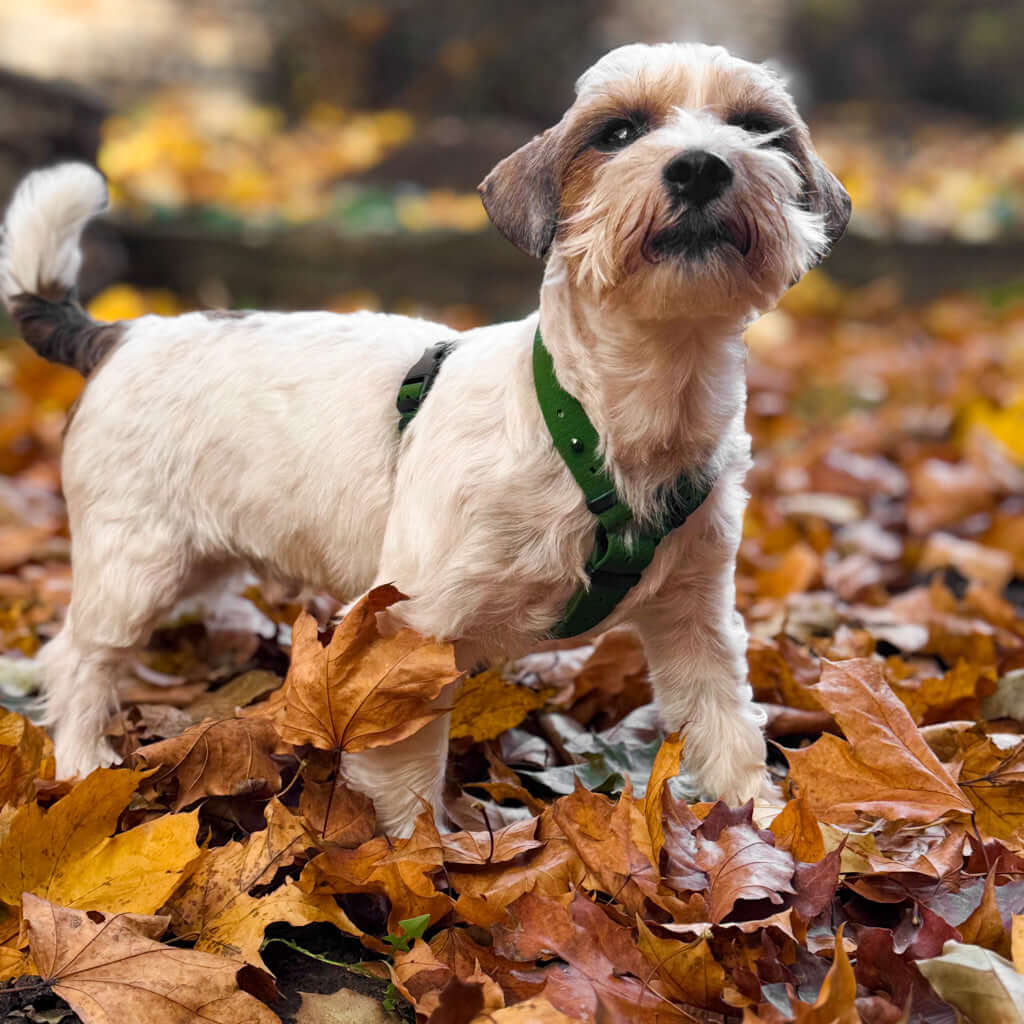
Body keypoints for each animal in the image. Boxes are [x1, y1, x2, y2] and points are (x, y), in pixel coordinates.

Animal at [0, 44, 847, 835]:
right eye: (618, 132)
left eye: (758, 128)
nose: (701, 165)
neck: (605, 420)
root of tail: (118, 333)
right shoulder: (408, 628)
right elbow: (406, 773)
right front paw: (415, 858)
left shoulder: (696, 621)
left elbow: (724, 723)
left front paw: (763, 821)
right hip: (136, 564)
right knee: (79, 658)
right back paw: (80, 763)